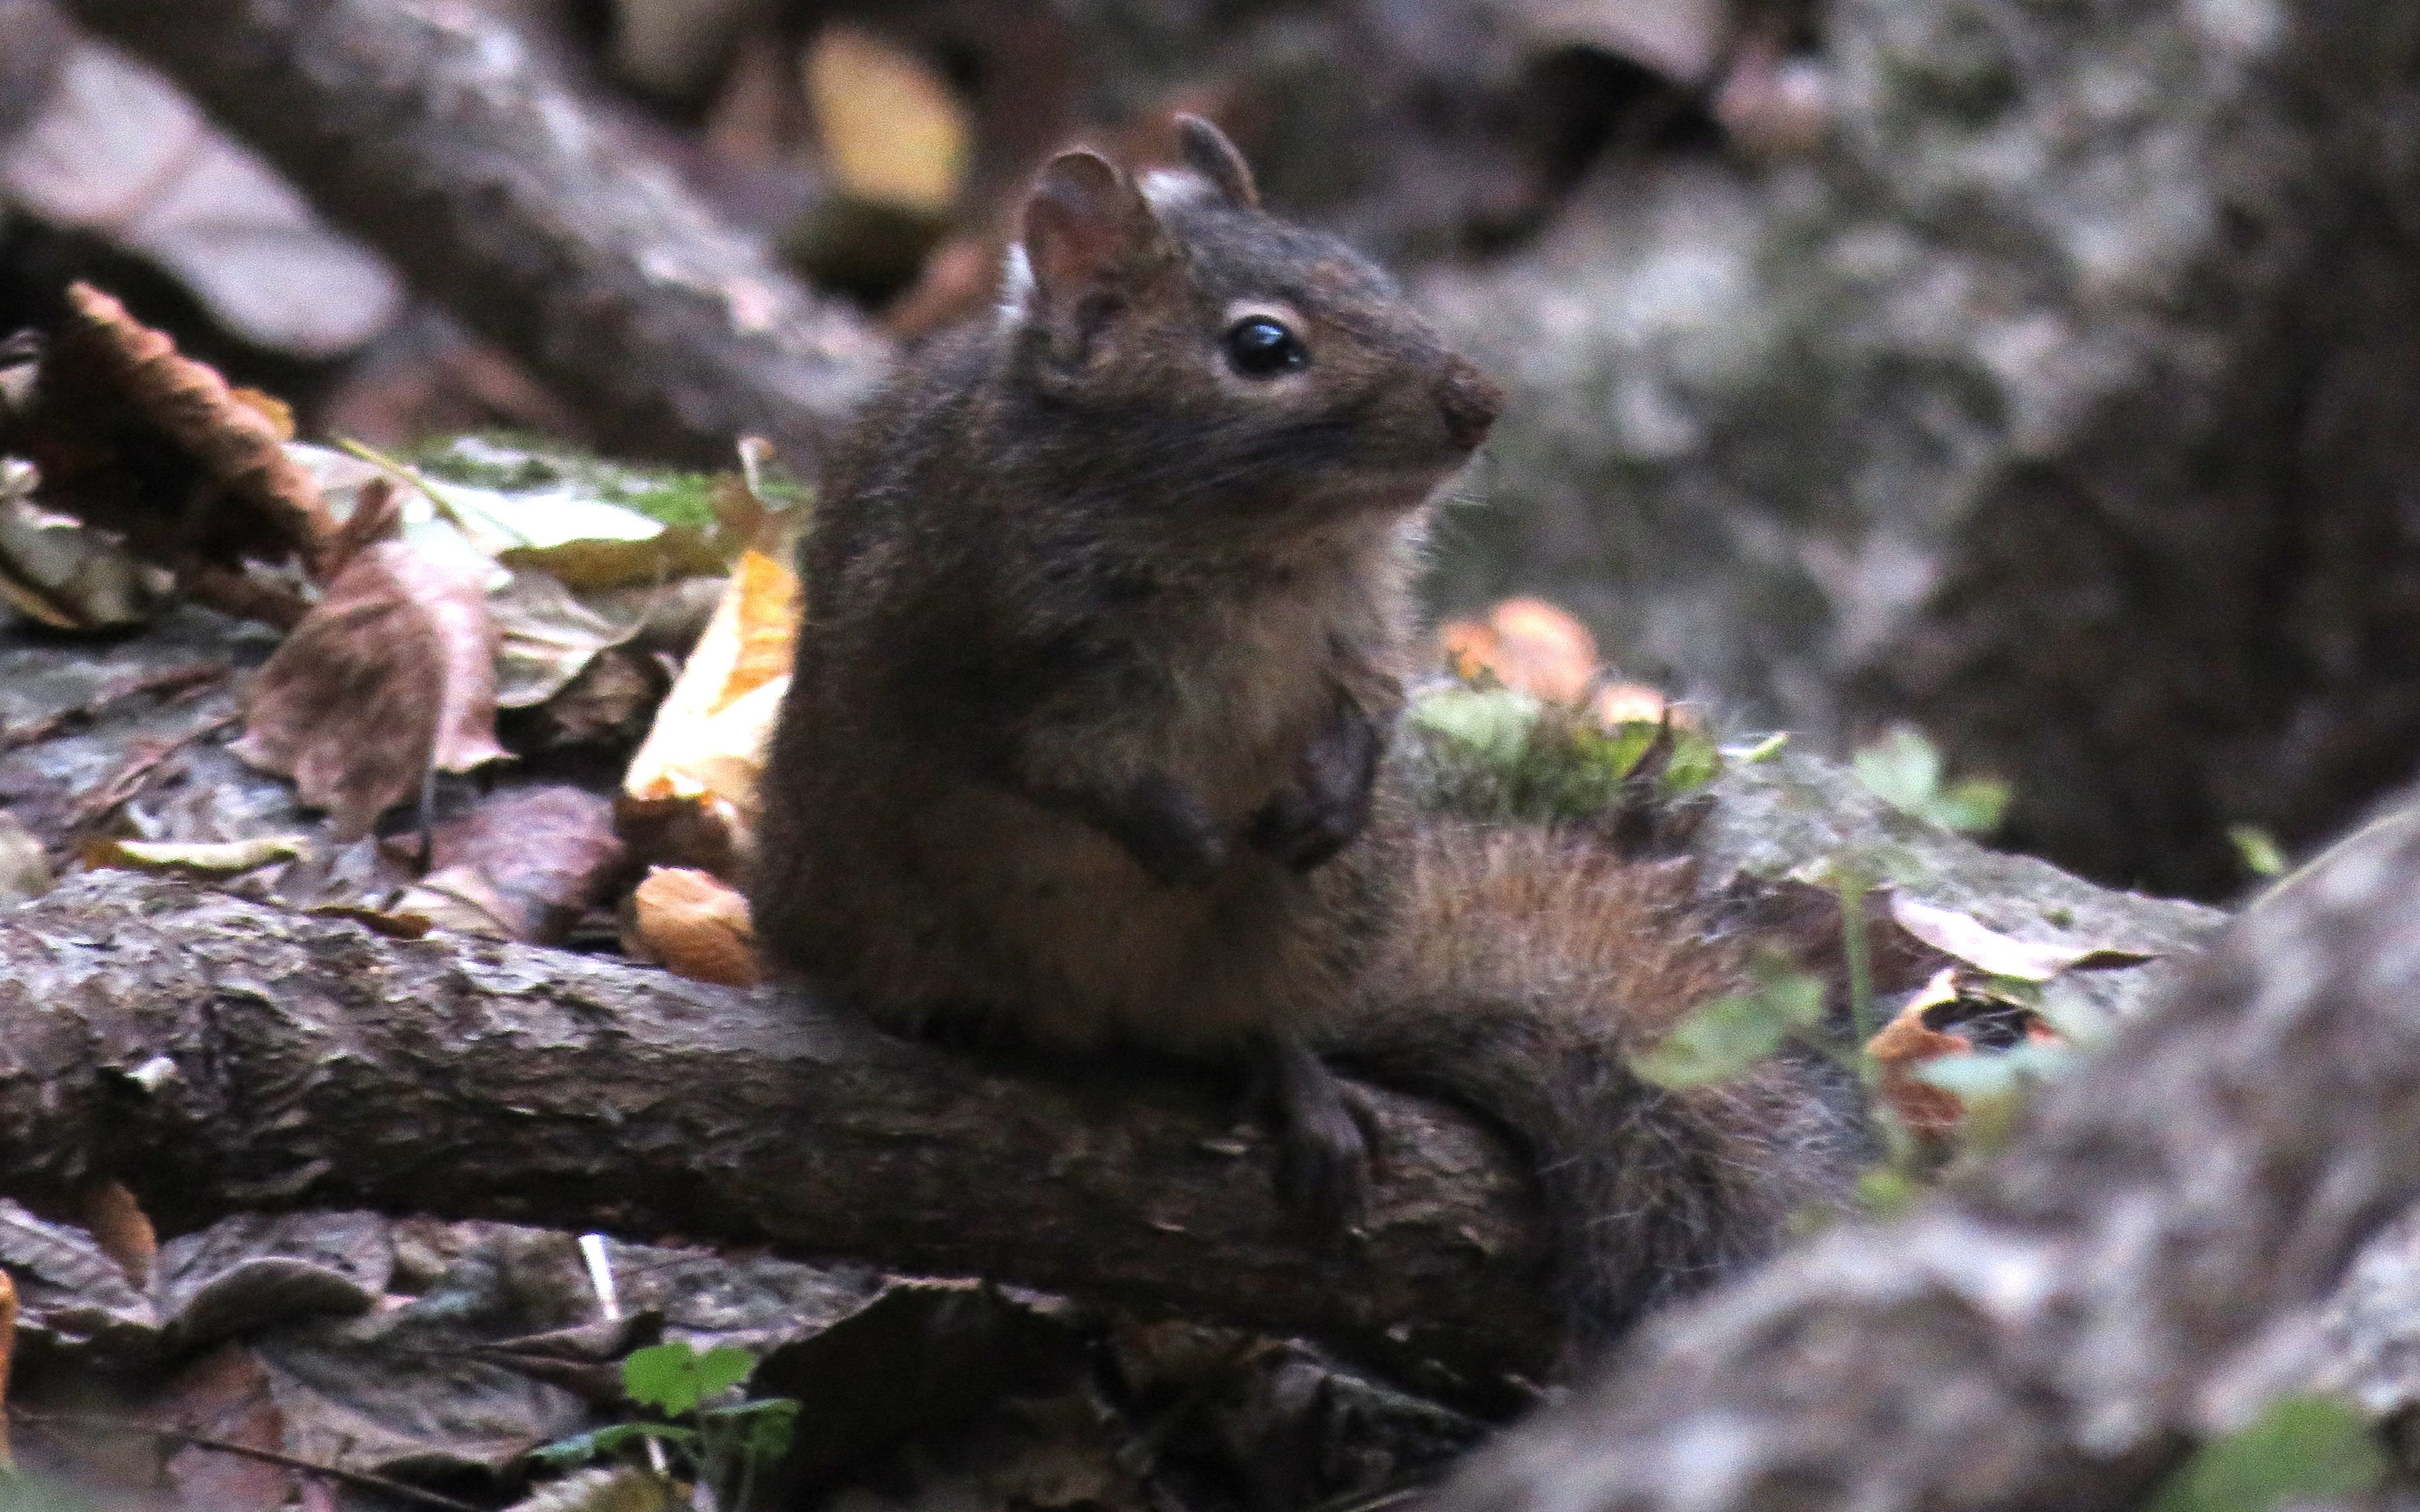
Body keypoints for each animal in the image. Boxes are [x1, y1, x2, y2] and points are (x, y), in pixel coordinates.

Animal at [750, 118, 1848, 1354]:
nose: (1479, 400)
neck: (1246, 544)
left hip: (1323, 919)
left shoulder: (1361, 628)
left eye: (1369, 271)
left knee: (1239, 1025)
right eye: (1263, 347)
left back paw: (1298, 1083)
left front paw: (1323, 799)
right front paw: (1177, 836)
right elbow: (1055, 762)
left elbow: (1368, 707)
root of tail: (1096, 1020)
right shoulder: (976, 639)